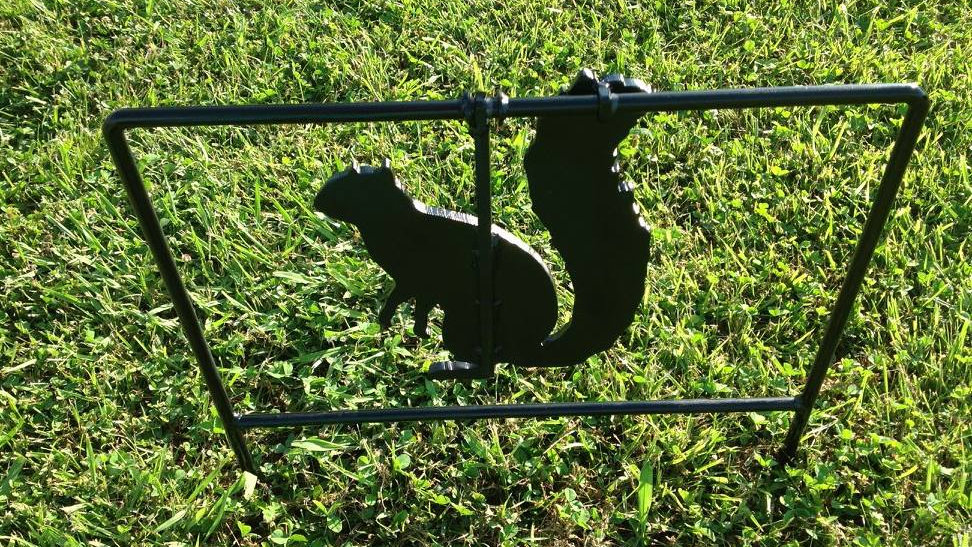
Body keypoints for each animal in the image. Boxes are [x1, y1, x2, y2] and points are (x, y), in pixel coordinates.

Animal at [314, 70, 652, 378]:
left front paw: (393, 320)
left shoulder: (416, 277)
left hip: (462, 324)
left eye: (354, 190)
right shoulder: (419, 284)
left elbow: (403, 298)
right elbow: (416, 304)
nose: (318, 202)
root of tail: (529, 349)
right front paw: (413, 326)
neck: (394, 220)